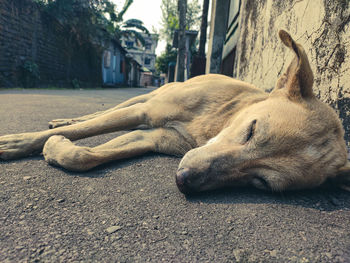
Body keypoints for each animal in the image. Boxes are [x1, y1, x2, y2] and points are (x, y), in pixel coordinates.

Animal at [0, 31, 348, 195]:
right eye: (251, 130)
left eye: (261, 183)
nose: (184, 182)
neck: (213, 124)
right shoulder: (144, 114)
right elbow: (80, 133)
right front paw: (17, 143)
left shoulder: (151, 138)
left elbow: (85, 155)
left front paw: (59, 149)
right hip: (147, 97)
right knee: (105, 111)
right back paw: (64, 119)